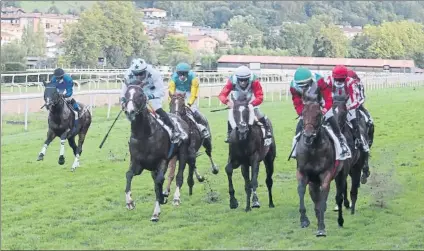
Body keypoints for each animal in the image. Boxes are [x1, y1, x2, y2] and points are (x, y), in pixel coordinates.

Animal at [121, 82, 190, 220]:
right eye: (126, 95)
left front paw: (156, 212)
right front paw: (130, 202)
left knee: (179, 176)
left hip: (182, 155)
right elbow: (129, 175)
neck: (144, 135)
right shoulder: (137, 163)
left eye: (140, 95)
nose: (130, 111)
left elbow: (159, 181)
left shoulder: (162, 161)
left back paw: (176, 198)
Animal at [294, 91, 352, 236]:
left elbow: (323, 197)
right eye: (303, 113)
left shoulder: (326, 175)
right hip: (314, 182)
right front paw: (304, 220)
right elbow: (302, 191)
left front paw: (321, 228)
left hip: (341, 175)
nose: (308, 136)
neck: (313, 149)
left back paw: (340, 220)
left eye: (318, 114)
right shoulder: (303, 173)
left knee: (339, 196)